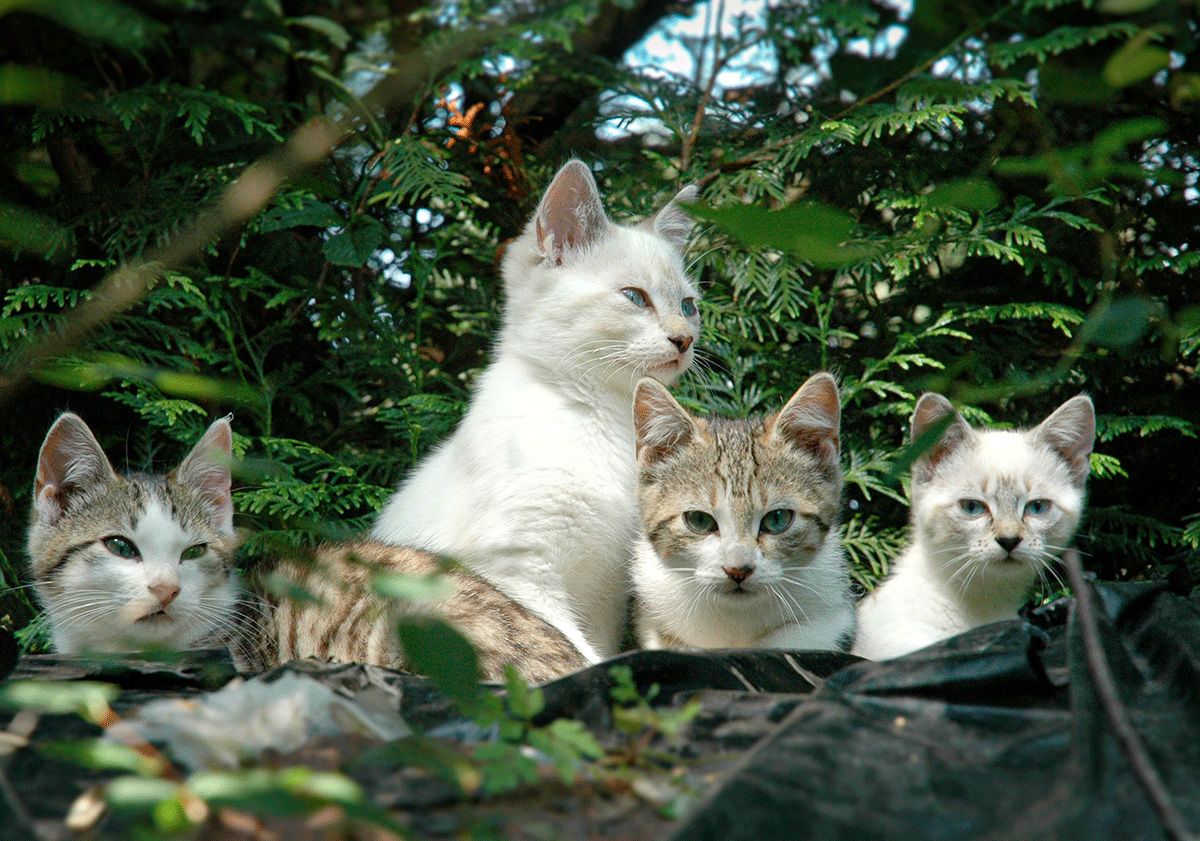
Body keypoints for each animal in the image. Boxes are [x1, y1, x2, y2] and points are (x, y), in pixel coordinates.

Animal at [369, 159, 700, 662]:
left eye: (689, 305)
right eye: (635, 297)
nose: (685, 339)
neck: (601, 414)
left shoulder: (605, 596)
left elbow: (594, 648)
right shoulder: (516, 569)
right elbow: (568, 649)